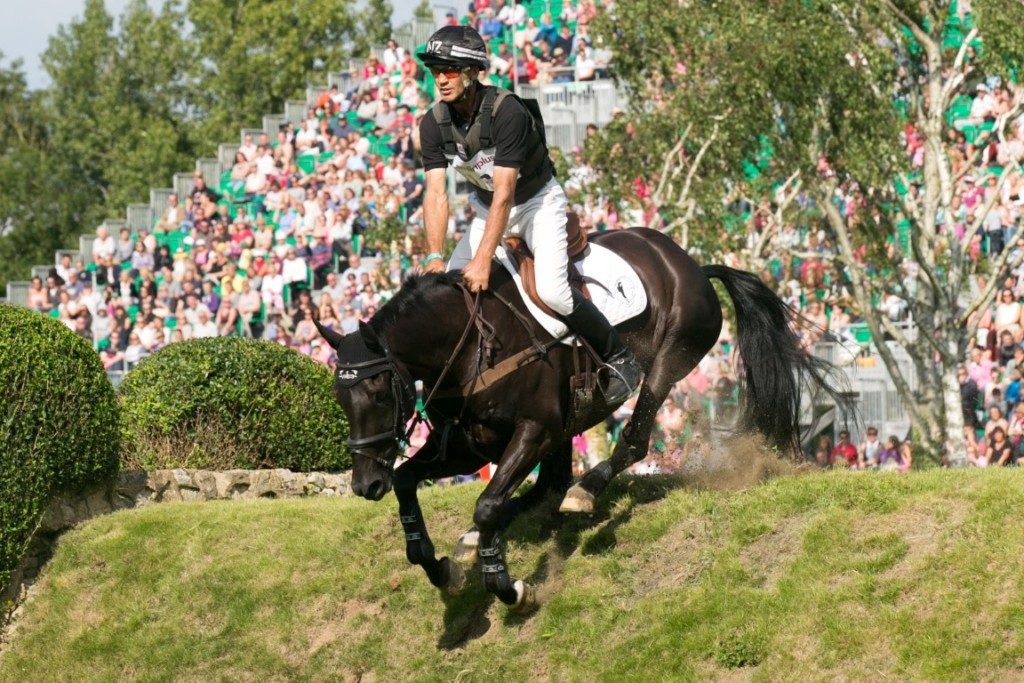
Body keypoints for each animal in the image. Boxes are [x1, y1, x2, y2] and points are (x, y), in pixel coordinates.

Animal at [315, 228, 835, 610]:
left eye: (378, 392)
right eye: (339, 397)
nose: (365, 484)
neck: (470, 346)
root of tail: (689, 263)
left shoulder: (533, 431)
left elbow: (487, 503)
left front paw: (506, 586)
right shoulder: (467, 442)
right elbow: (410, 481)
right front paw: (436, 560)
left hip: (669, 359)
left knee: (628, 443)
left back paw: (587, 490)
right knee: (548, 485)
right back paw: (483, 533)